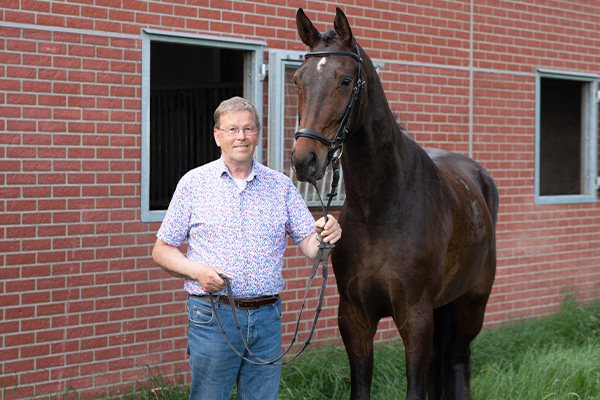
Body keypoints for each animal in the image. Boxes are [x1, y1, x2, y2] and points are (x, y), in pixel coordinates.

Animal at [292, 7, 500, 400]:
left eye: (345, 80)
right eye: (298, 80)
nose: (304, 160)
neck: (383, 207)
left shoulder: (415, 318)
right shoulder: (354, 318)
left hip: (472, 304)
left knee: (458, 361)